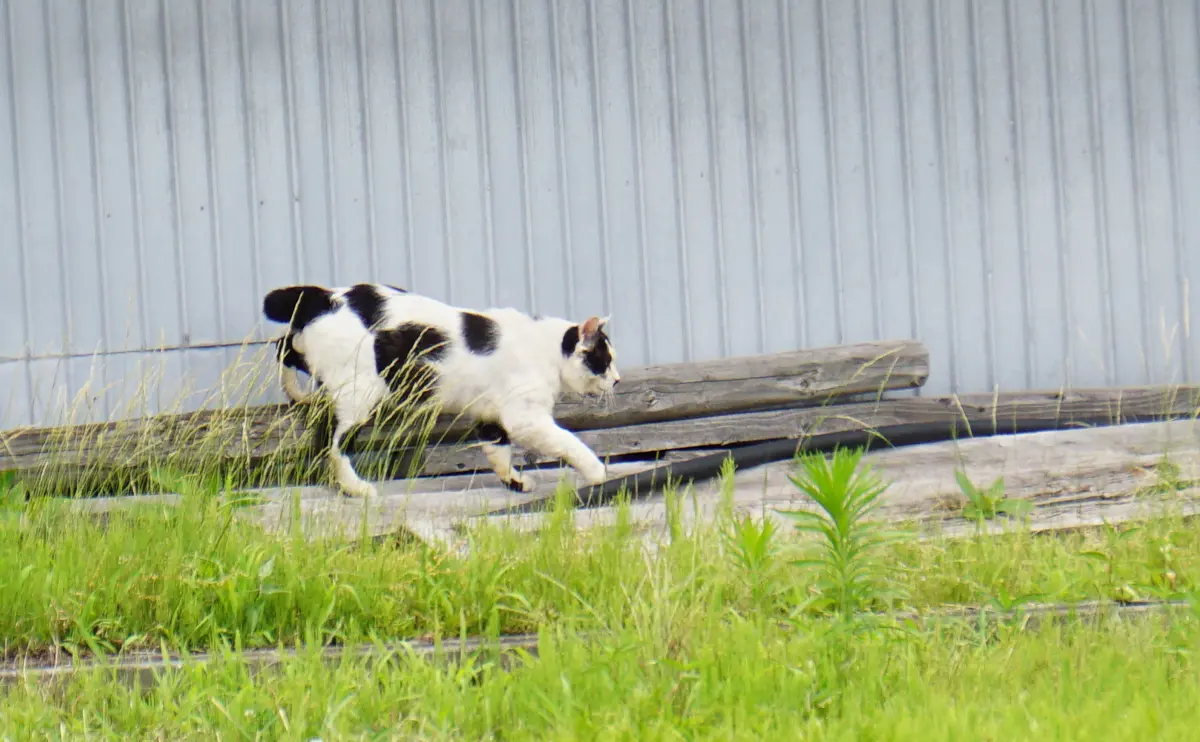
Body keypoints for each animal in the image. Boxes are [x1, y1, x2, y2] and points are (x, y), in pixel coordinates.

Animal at [260, 282, 619, 497]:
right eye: (604, 359)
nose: (616, 380)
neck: (547, 350)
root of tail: (325, 295)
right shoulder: (526, 419)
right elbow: (570, 443)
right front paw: (599, 473)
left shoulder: (490, 418)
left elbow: (499, 452)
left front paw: (515, 482)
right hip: (360, 394)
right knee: (334, 443)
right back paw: (356, 488)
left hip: (318, 358)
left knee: (285, 347)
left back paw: (298, 394)